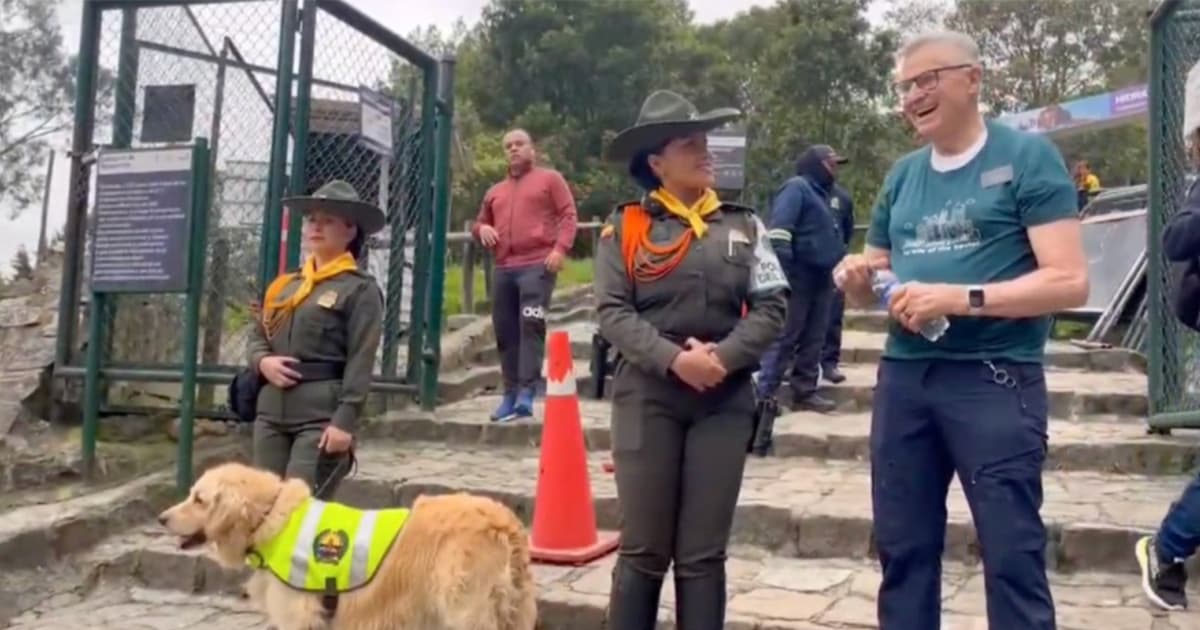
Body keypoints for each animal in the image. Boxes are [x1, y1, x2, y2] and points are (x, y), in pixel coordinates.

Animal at [158, 458, 540, 624]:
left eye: (199, 499)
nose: (161, 518)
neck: (271, 517)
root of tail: (503, 520)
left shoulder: (301, 614)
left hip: (465, 610)